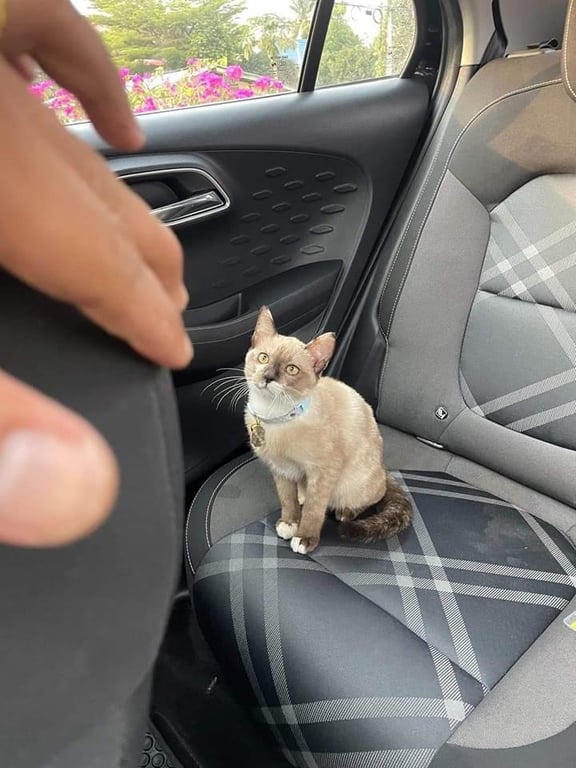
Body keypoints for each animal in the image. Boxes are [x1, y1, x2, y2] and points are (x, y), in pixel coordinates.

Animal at [243, 306, 413, 555]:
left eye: (291, 369)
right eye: (263, 358)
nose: (268, 377)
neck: (275, 418)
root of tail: (383, 468)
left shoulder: (323, 472)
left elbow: (314, 510)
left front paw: (304, 538)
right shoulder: (281, 471)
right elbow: (287, 501)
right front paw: (289, 523)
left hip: (352, 485)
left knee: (371, 497)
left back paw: (344, 513)